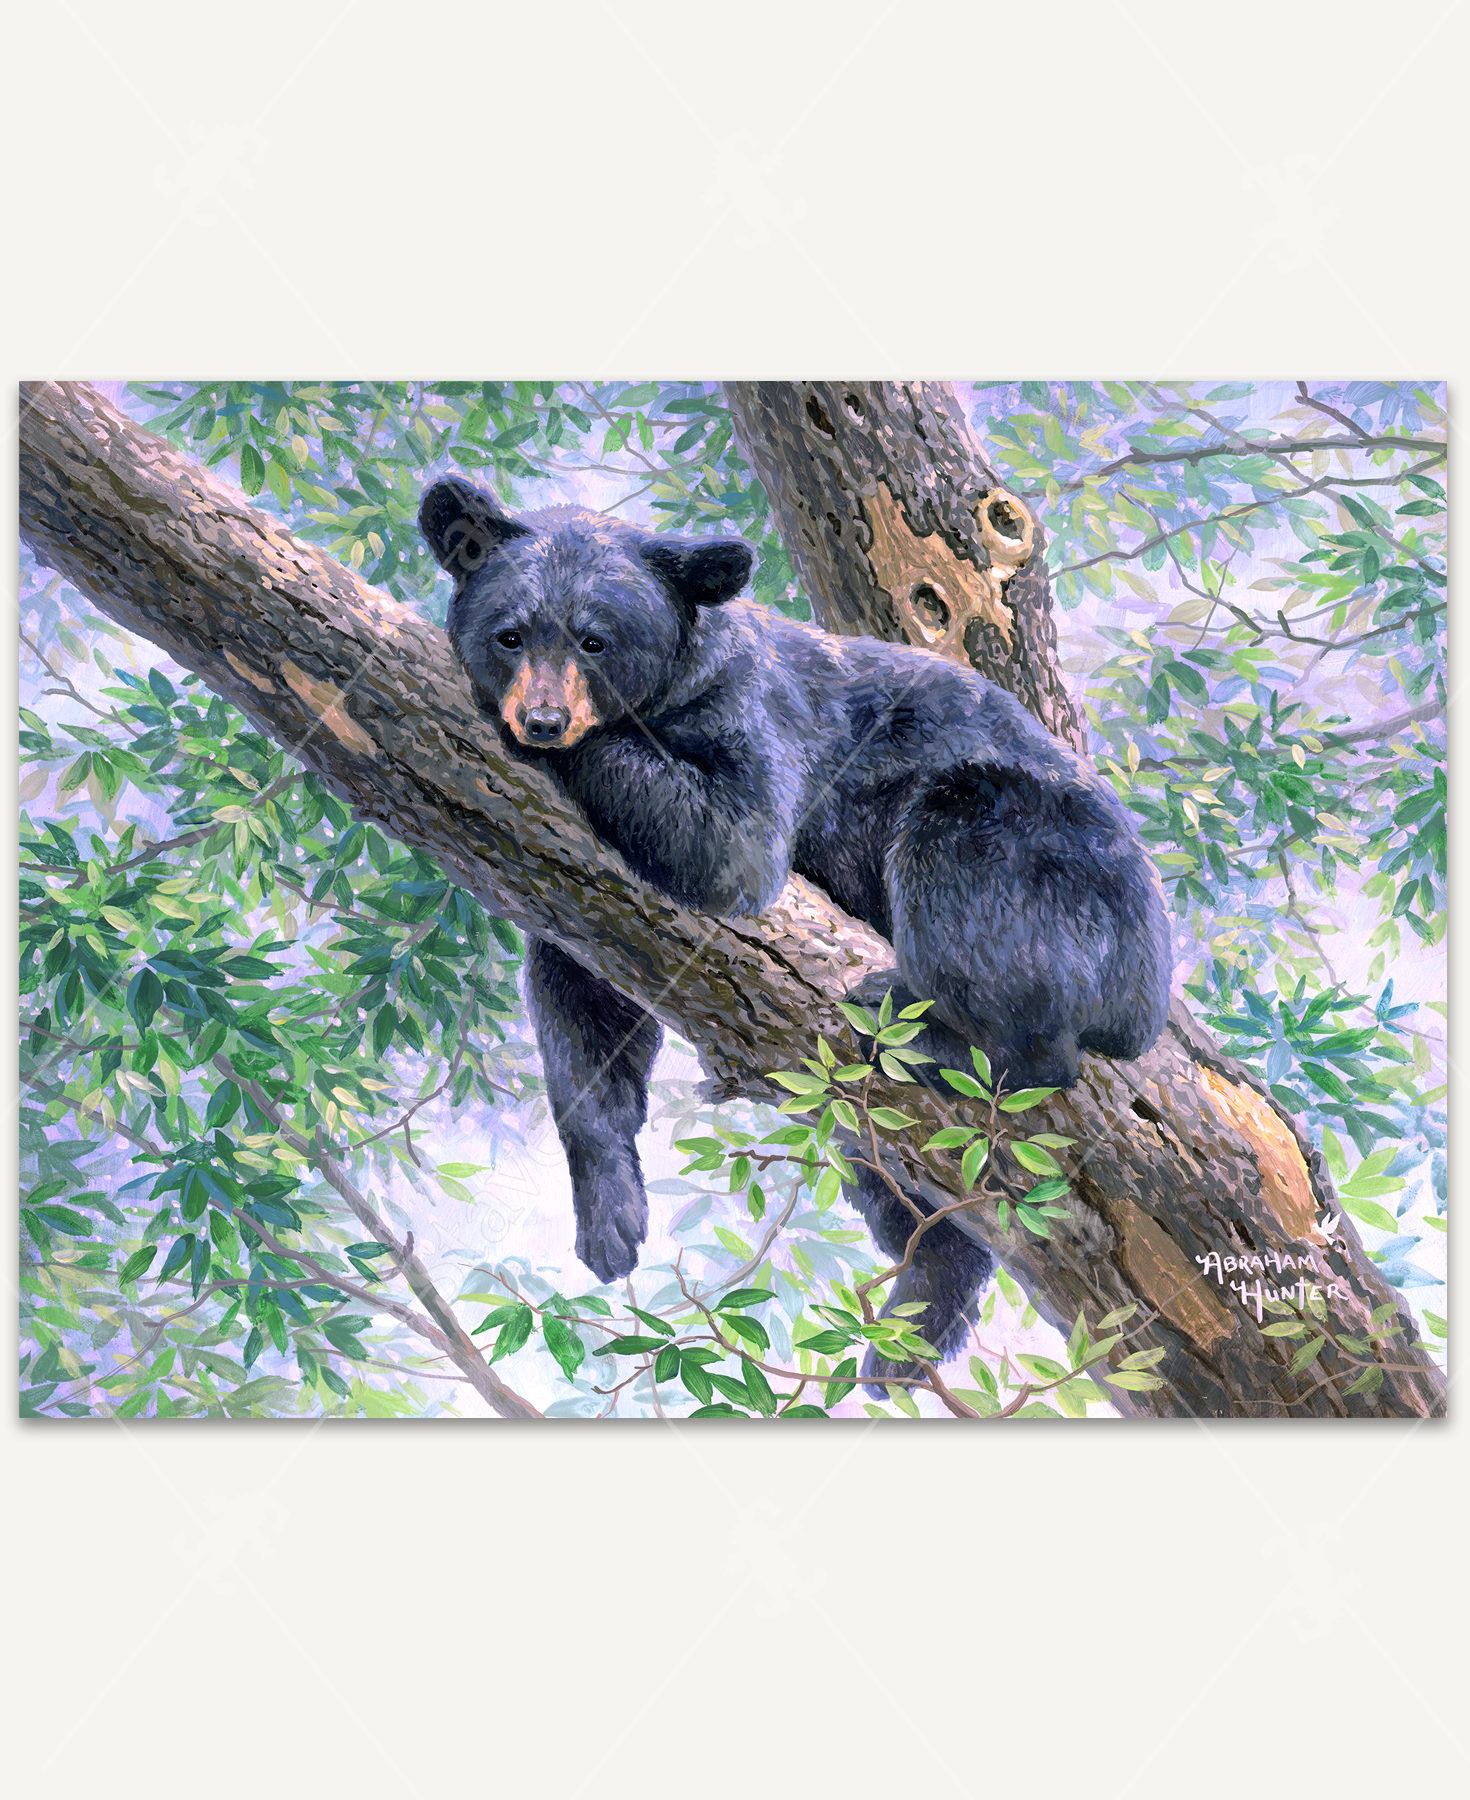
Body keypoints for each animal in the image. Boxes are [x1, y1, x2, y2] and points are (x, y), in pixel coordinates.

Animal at [419, 475, 1172, 1388]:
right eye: (510, 634)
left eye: (596, 641)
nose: (540, 719)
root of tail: (1152, 995)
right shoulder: (562, 884)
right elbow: (581, 1011)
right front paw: (610, 1220)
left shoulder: (756, 716)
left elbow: (726, 842)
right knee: (901, 1186)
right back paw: (916, 1317)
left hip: (1049, 860)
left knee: (977, 894)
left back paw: (909, 1018)